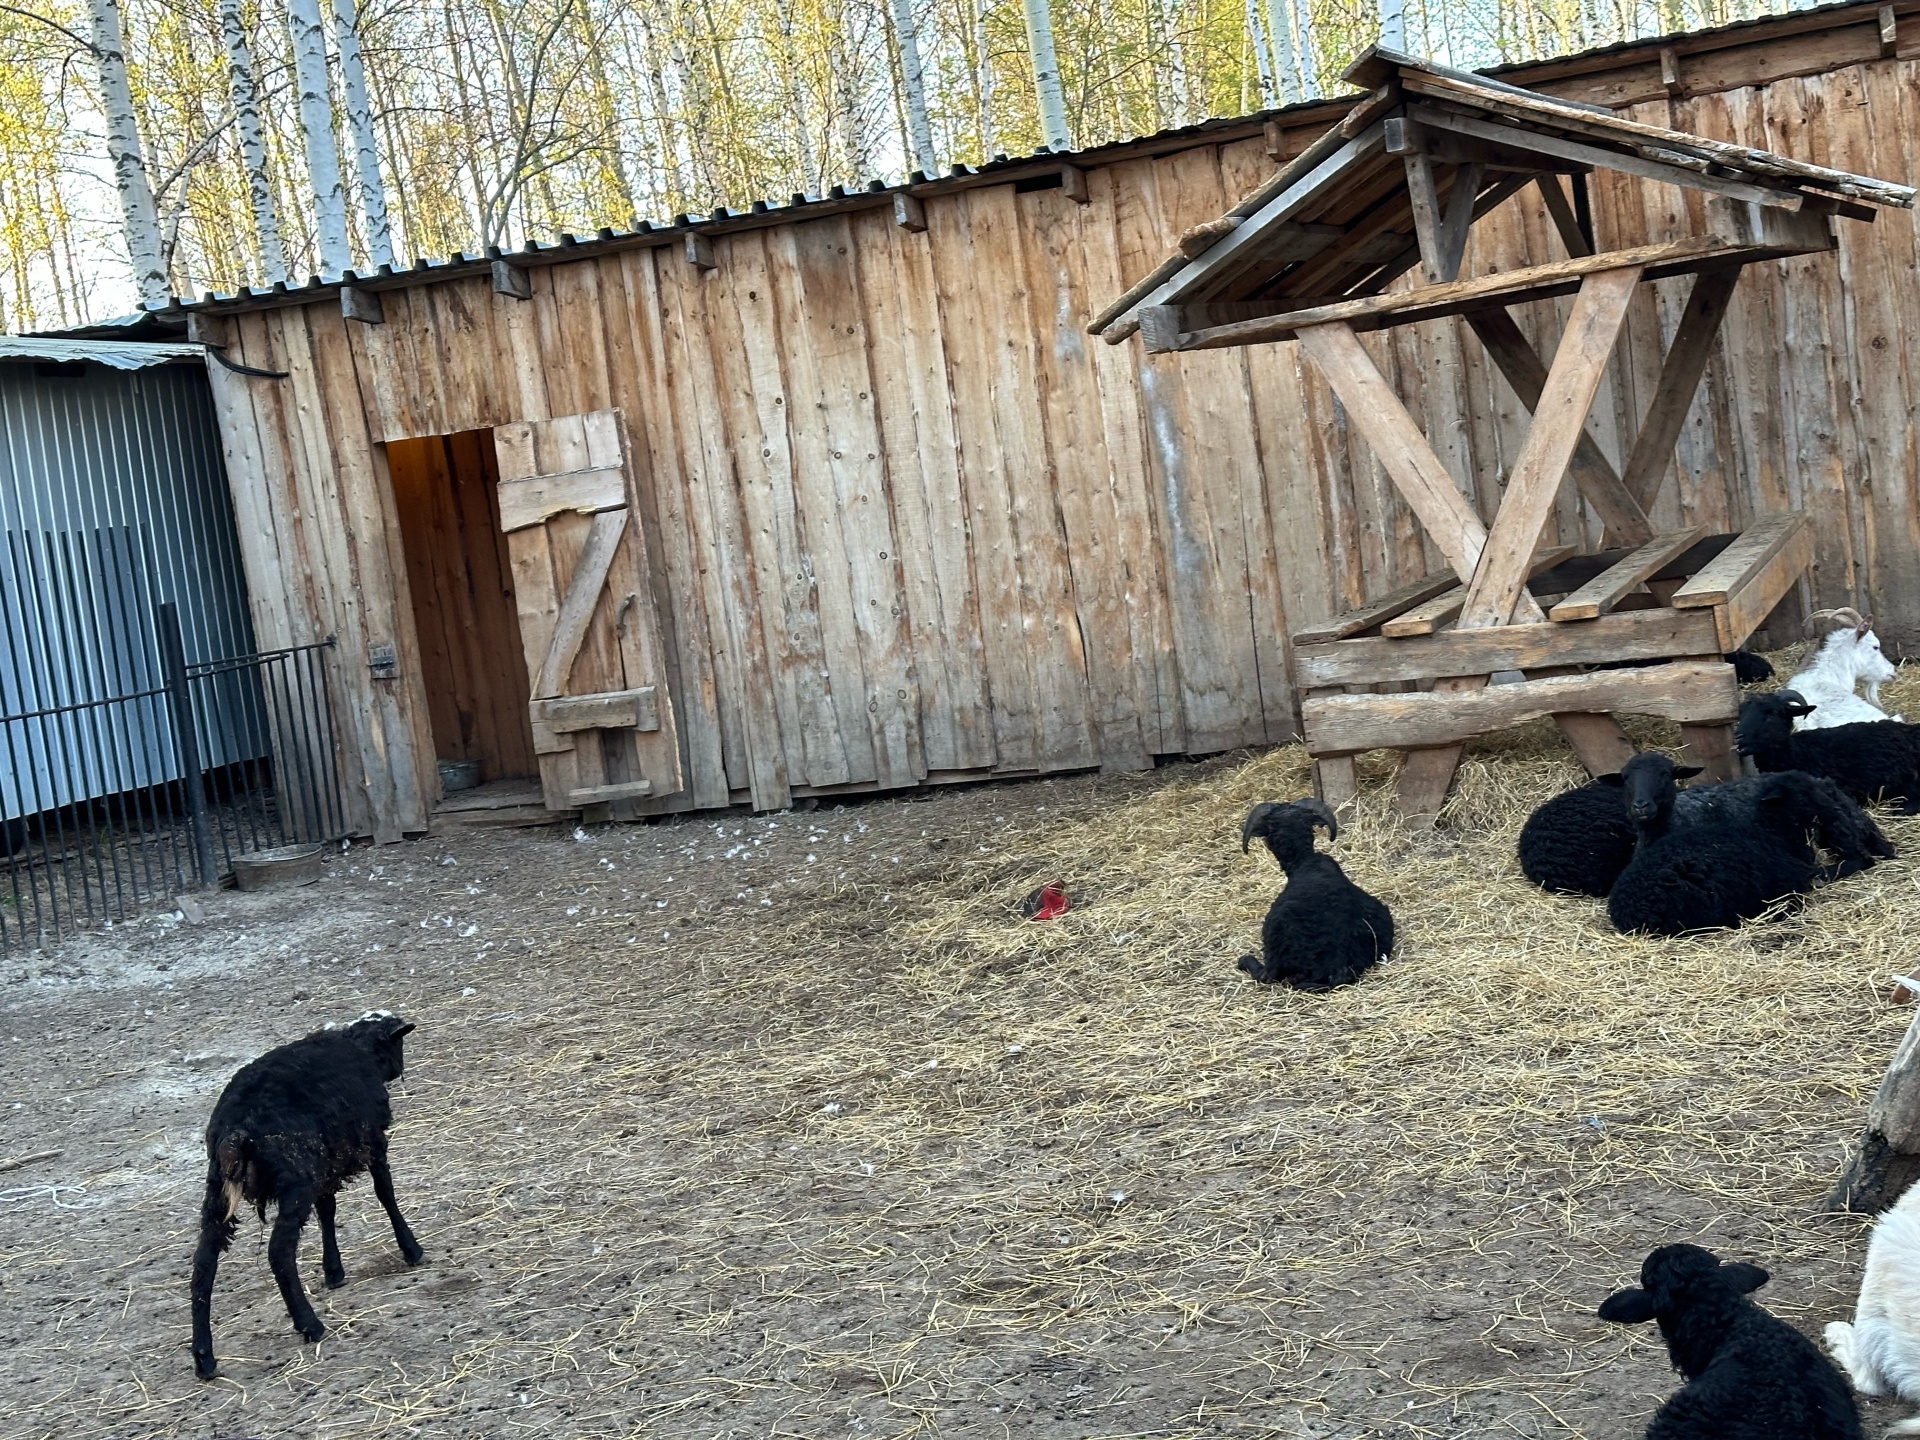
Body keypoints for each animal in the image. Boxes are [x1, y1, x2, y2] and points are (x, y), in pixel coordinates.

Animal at [191, 1006, 424, 1382]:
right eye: (398, 1044)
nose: (398, 1070)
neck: (359, 1047)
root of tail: (234, 1130)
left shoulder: (325, 1167)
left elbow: (328, 1210)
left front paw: (333, 1271)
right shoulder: (372, 1142)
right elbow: (385, 1192)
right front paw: (411, 1249)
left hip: (218, 1190)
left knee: (203, 1263)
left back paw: (204, 1357)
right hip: (294, 1180)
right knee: (279, 1252)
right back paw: (309, 1324)